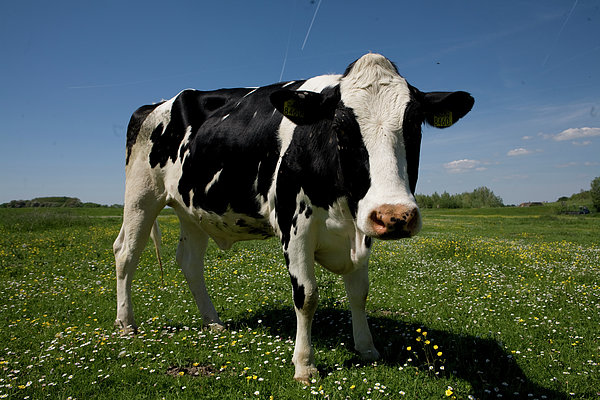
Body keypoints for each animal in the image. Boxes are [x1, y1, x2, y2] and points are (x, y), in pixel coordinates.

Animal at [113, 52, 474, 382]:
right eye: (341, 127)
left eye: (414, 125)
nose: (395, 215)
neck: (342, 210)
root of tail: (157, 104)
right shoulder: (295, 226)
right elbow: (307, 296)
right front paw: (304, 365)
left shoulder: (362, 228)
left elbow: (359, 291)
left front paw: (367, 347)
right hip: (141, 195)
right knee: (126, 253)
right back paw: (126, 323)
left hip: (193, 209)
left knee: (190, 262)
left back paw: (212, 321)